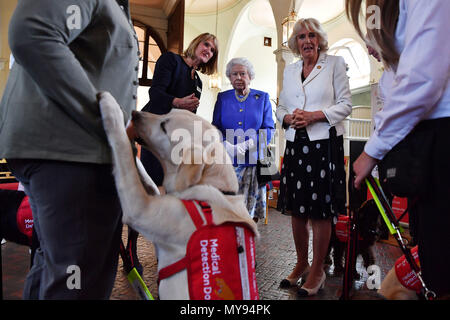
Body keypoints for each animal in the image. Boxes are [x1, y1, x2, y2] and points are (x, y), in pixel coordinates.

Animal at [99, 90, 258, 300]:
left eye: (164, 126)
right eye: (166, 112)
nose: (135, 114)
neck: (216, 188)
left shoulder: (141, 210)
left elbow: (123, 153)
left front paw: (111, 108)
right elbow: (147, 178)